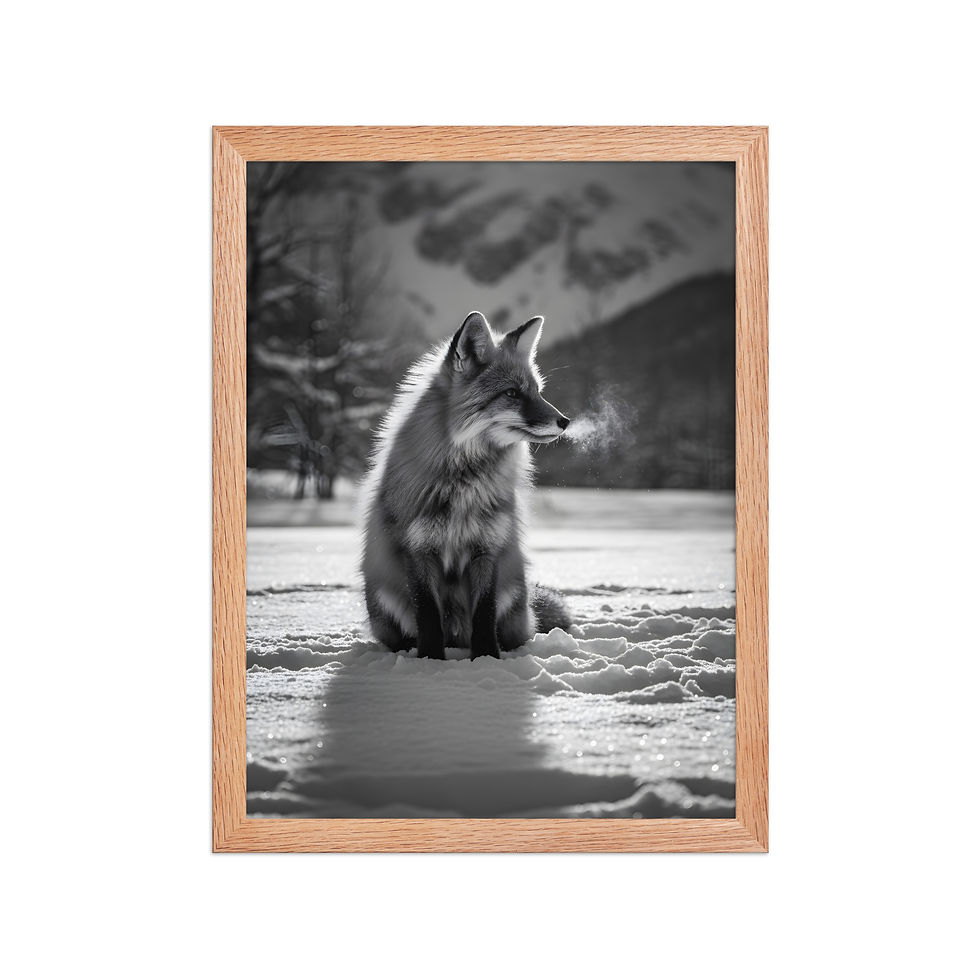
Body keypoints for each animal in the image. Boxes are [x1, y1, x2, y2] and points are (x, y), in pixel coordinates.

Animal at [360, 310, 572, 660]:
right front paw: (430, 660)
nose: (565, 421)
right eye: (512, 393)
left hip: (514, 591)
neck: (463, 482)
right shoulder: (417, 550)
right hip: (383, 591)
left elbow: (484, 614)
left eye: (538, 391)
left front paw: (486, 658)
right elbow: (428, 615)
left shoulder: (488, 547)